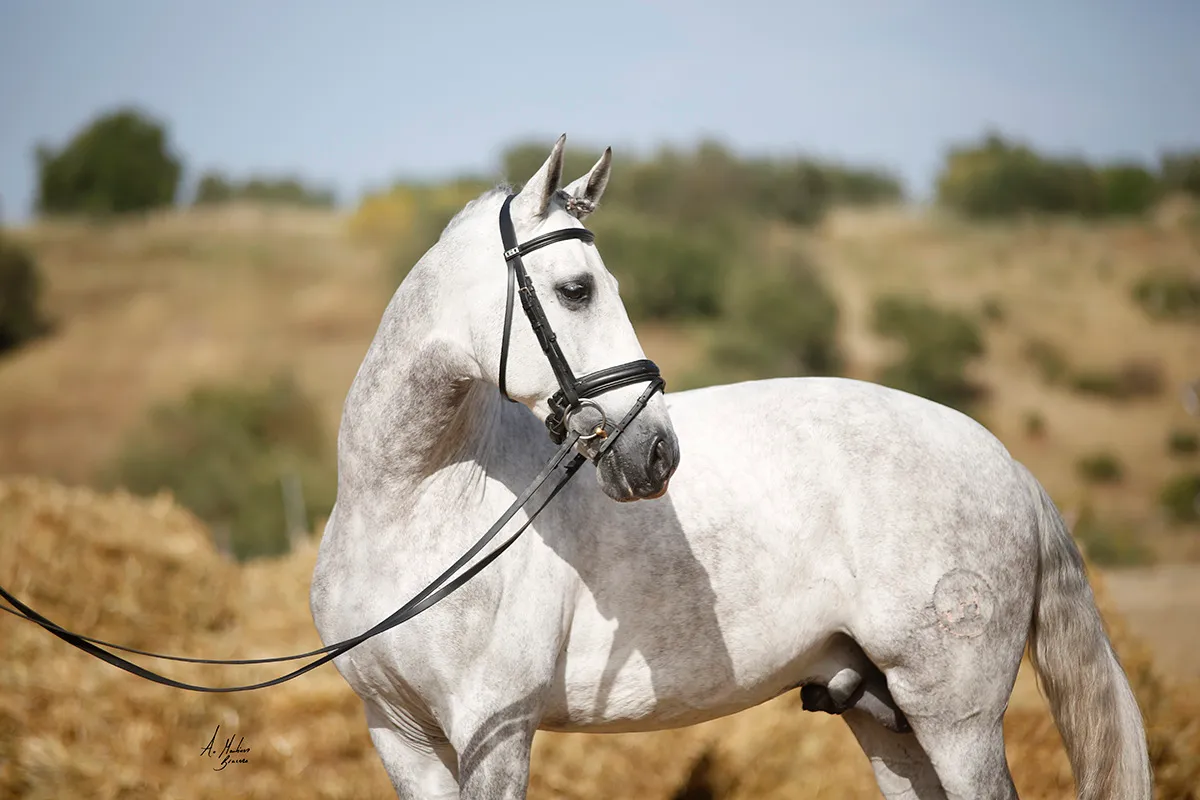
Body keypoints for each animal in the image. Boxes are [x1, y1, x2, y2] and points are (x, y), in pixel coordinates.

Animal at [309, 135, 1151, 799]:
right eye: (576, 290)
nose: (656, 451)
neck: (415, 507)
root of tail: (1006, 465)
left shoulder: (496, 731)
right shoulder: (401, 737)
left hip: (955, 714)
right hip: (887, 719)